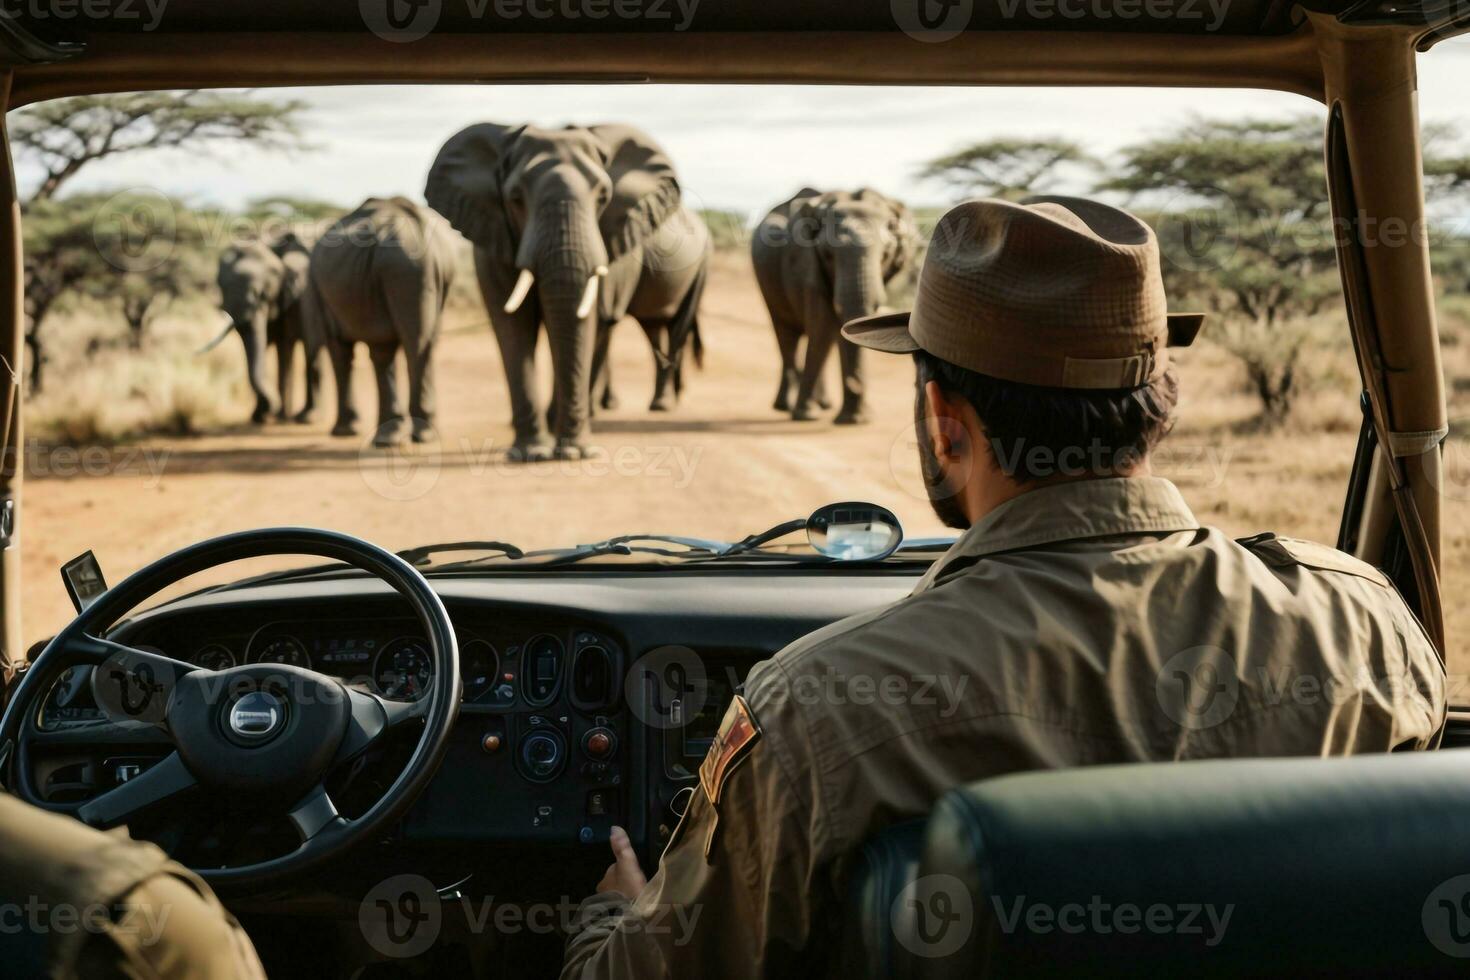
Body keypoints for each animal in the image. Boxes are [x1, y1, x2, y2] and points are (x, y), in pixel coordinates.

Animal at [207, 233, 318, 429]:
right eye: (220, 287)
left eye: (261, 293)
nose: (271, 408)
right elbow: (261, 348)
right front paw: (260, 417)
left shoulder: (293, 295)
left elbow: (284, 347)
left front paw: (278, 416)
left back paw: (306, 417)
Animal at [429, 121, 708, 461]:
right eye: (515, 198)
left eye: (603, 196)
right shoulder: (490, 236)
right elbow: (512, 324)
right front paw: (531, 453)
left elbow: (589, 323)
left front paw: (573, 449)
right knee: (655, 331)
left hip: (700, 268)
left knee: (675, 329)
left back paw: (660, 406)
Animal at [752, 188, 911, 426]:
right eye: (828, 254)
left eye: (886, 255)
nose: (856, 385)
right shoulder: (806, 262)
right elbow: (822, 325)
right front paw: (806, 416)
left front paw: (854, 420)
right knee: (787, 335)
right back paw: (786, 406)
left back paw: (824, 404)